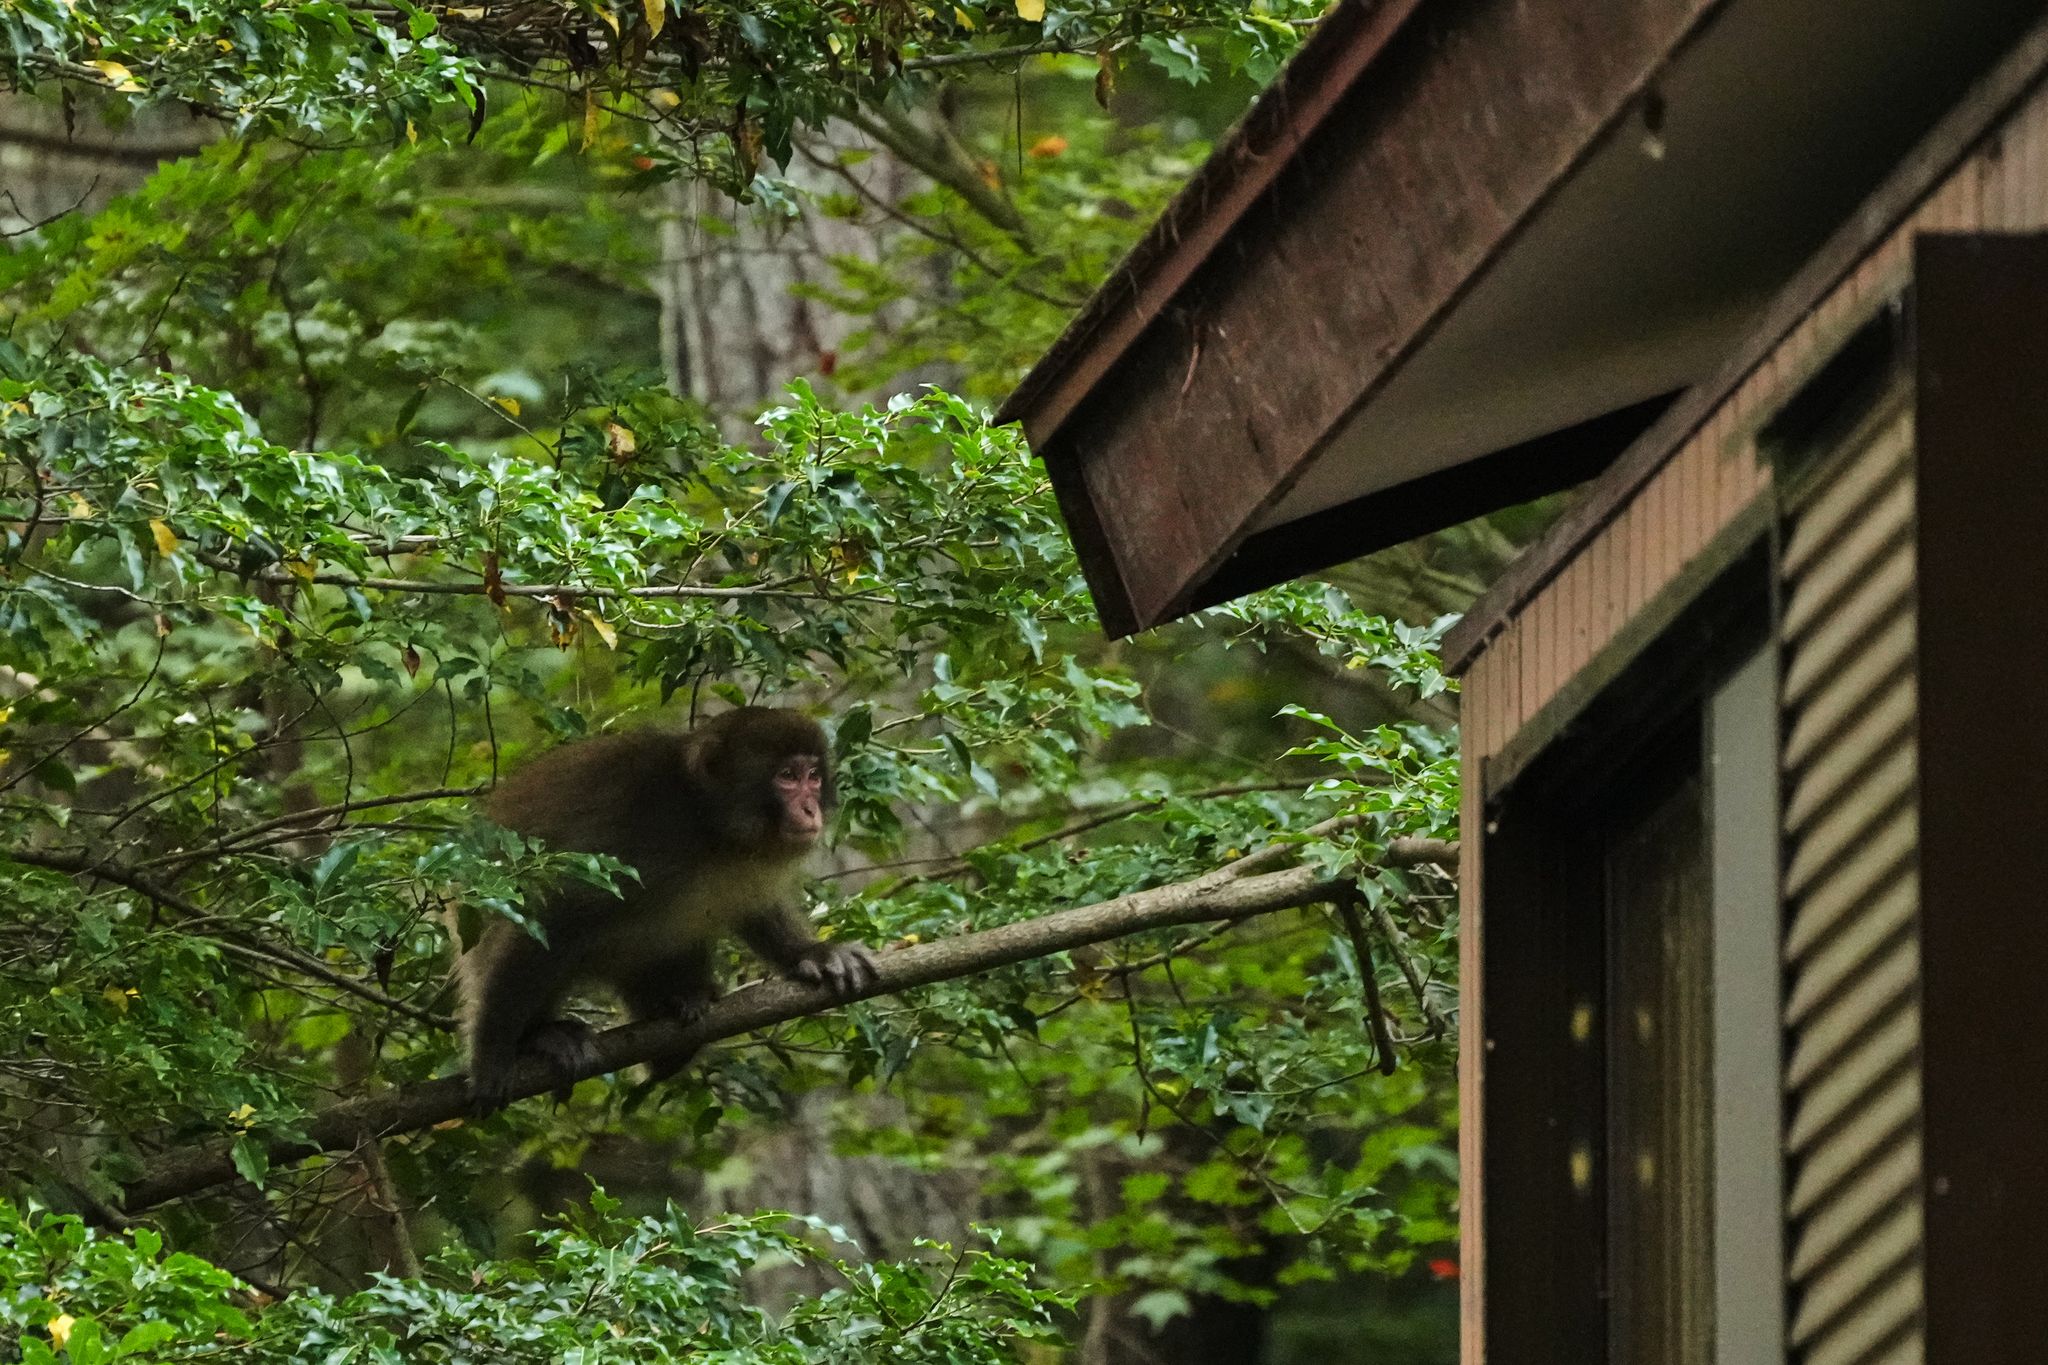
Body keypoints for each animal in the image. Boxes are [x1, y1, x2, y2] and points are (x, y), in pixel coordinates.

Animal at [456, 706, 878, 1111]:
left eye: (814, 777)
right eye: (787, 776)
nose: (811, 809)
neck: (706, 822)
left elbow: (755, 907)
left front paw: (811, 953)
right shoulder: (636, 839)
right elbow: (553, 914)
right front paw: (493, 1054)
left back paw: (679, 1013)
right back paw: (541, 1035)